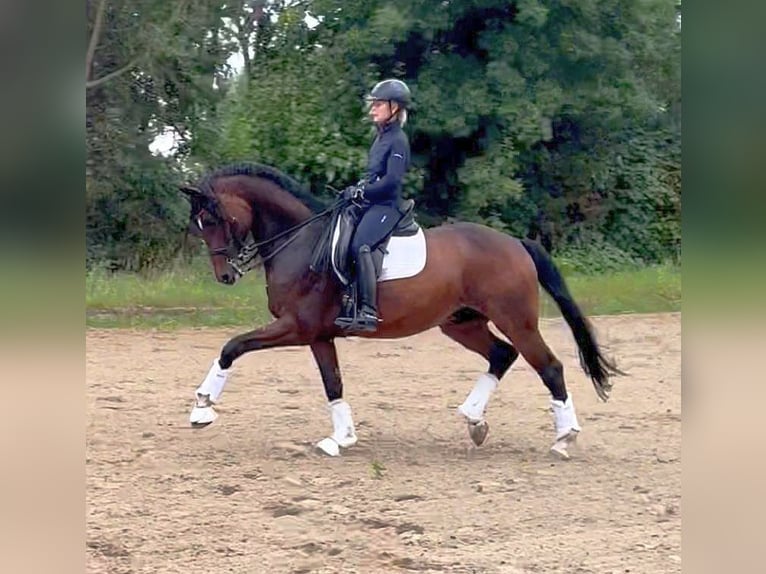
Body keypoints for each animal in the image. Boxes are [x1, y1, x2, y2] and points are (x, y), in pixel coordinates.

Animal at [180, 164, 624, 462]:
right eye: (200, 224)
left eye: (213, 218)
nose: (225, 275)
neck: (302, 240)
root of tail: (515, 243)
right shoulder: (318, 335)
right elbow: (333, 384)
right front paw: (341, 438)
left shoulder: (295, 327)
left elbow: (232, 347)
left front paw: (202, 408)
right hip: (461, 324)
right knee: (502, 354)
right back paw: (474, 421)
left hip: (517, 321)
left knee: (548, 367)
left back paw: (563, 440)